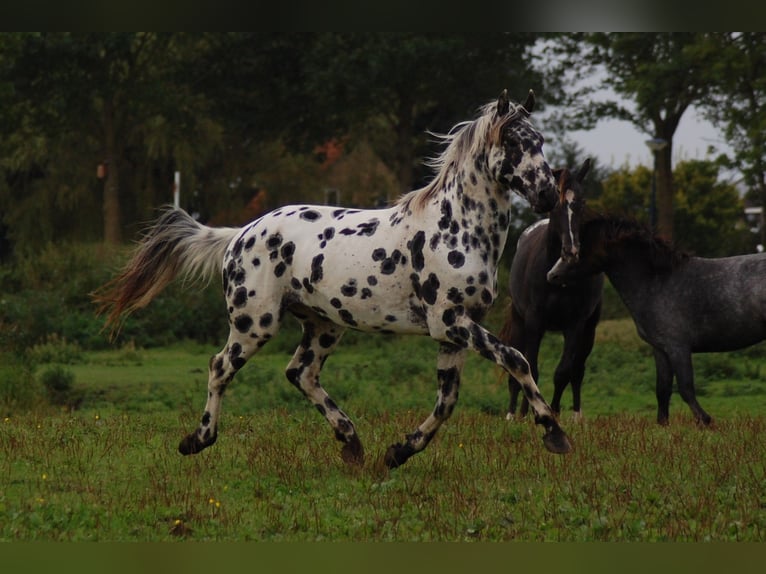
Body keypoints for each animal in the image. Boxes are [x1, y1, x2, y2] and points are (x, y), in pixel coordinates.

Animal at [97, 89, 576, 468]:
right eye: (513, 142)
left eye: (540, 141)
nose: (546, 195)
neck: (454, 227)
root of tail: (240, 234)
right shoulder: (451, 322)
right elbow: (516, 359)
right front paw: (554, 432)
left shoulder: (454, 331)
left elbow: (447, 402)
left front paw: (399, 452)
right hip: (255, 324)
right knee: (221, 367)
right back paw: (198, 440)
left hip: (323, 325)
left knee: (300, 373)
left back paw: (352, 443)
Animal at [498, 160, 608, 420]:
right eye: (556, 206)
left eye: (582, 202)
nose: (571, 251)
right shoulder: (534, 322)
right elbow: (531, 370)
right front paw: (529, 413)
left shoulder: (575, 326)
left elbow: (563, 372)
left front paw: (554, 412)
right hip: (519, 322)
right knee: (517, 370)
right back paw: (514, 413)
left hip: (588, 331)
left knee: (578, 371)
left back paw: (577, 415)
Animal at [548, 182, 766, 426]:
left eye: (578, 248)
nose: (552, 275)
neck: (657, 281)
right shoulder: (660, 349)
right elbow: (662, 390)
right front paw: (663, 425)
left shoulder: (678, 347)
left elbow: (686, 388)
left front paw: (705, 421)